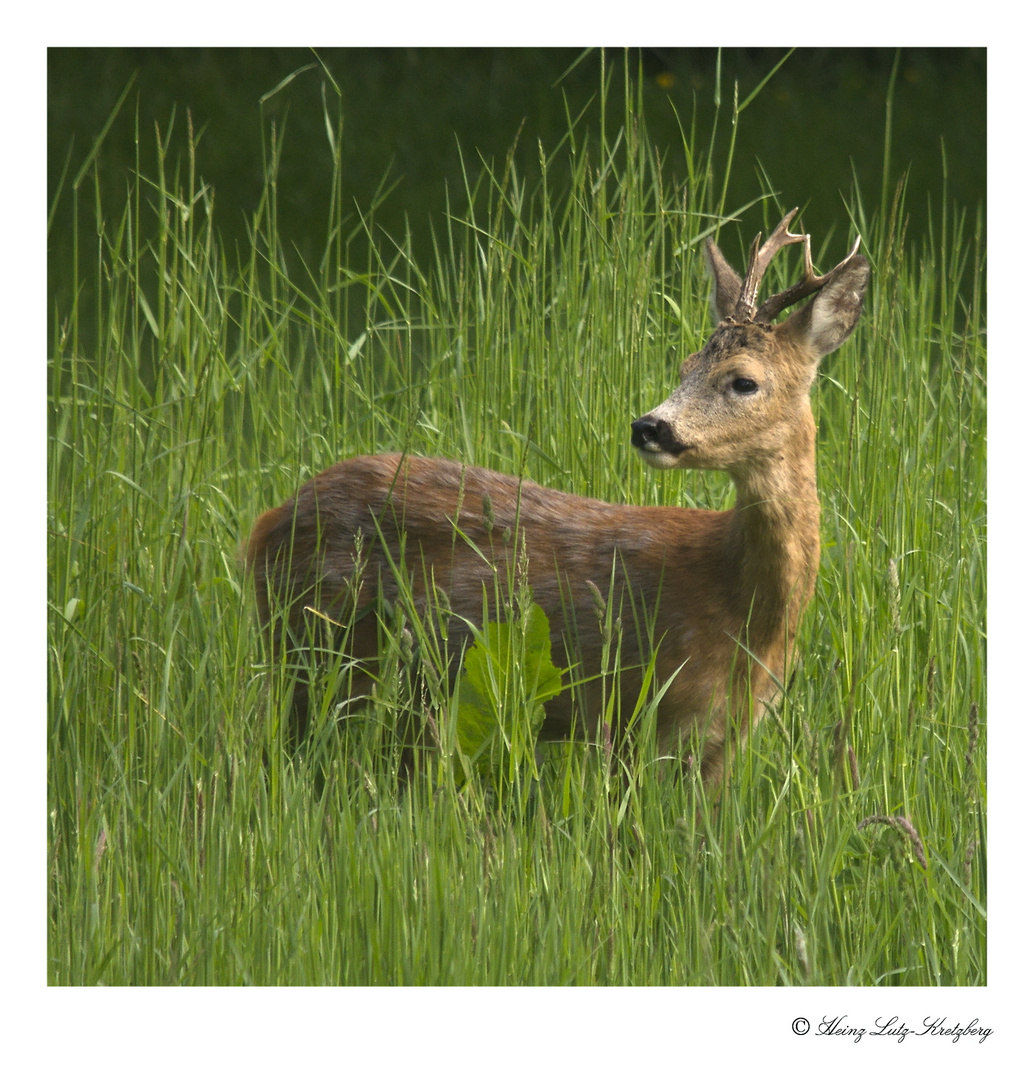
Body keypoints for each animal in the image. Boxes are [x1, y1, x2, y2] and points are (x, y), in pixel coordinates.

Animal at [246, 208, 868, 786]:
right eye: (684, 365)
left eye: (743, 380)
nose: (649, 427)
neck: (745, 611)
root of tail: (265, 524)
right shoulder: (631, 707)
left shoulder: (725, 737)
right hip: (314, 649)